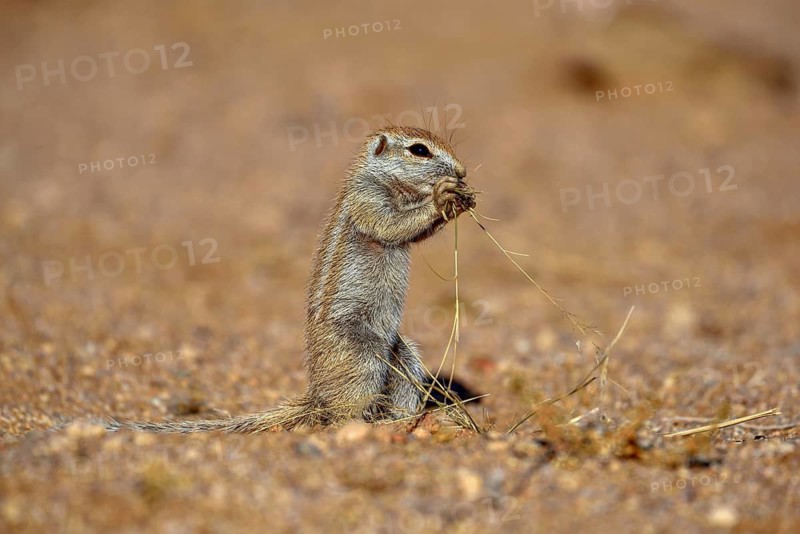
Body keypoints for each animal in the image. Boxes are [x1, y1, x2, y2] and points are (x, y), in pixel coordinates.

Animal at [111, 126, 476, 433]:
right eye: (419, 150)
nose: (461, 171)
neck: (383, 181)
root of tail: (316, 398)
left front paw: (461, 199)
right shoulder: (368, 201)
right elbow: (395, 224)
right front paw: (444, 194)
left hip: (403, 354)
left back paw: (408, 419)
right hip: (364, 360)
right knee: (343, 412)